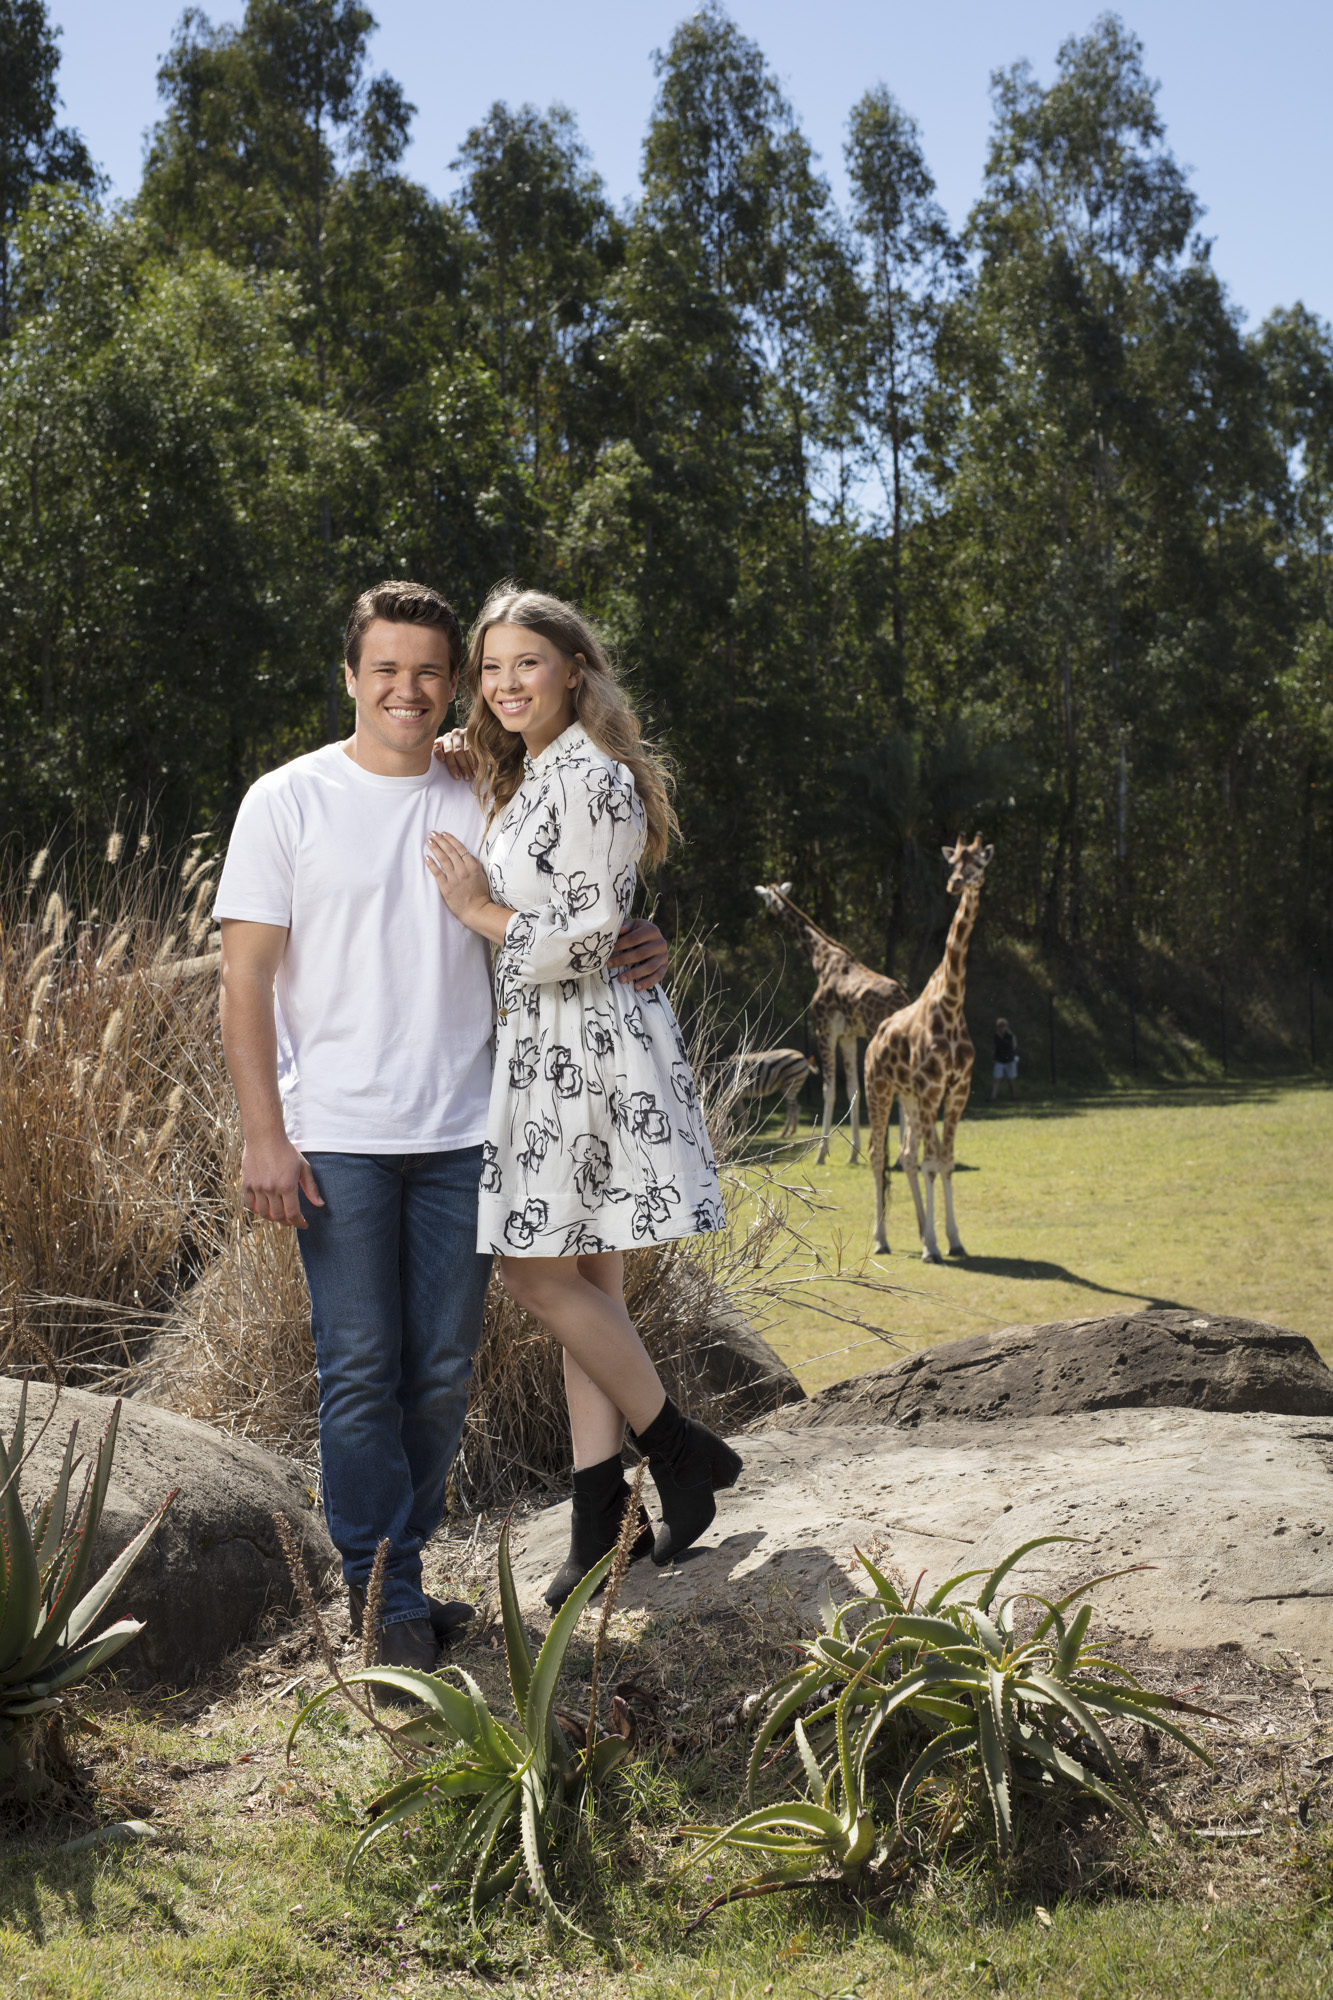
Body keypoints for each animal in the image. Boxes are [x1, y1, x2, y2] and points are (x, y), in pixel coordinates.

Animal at [752, 884, 908, 1168]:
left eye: (766, 896)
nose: (767, 913)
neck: (821, 958)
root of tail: (904, 1001)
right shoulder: (847, 1035)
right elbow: (852, 1089)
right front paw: (853, 1154)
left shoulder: (824, 1029)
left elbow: (829, 1090)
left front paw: (821, 1154)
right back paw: (903, 1155)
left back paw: (901, 1157)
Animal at [860, 836, 984, 1256]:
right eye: (953, 863)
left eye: (980, 862)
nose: (956, 884)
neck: (951, 1004)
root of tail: (873, 1042)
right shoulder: (933, 1090)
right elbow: (933, 1163)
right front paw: (933, 1245)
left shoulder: (957, 1089)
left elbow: (944, 1161)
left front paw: (952, 1240)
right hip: (879, 1089)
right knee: (878, 1154)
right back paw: (881, 1239)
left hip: (909, 1097)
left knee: (907, 1155)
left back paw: (916, 1228)